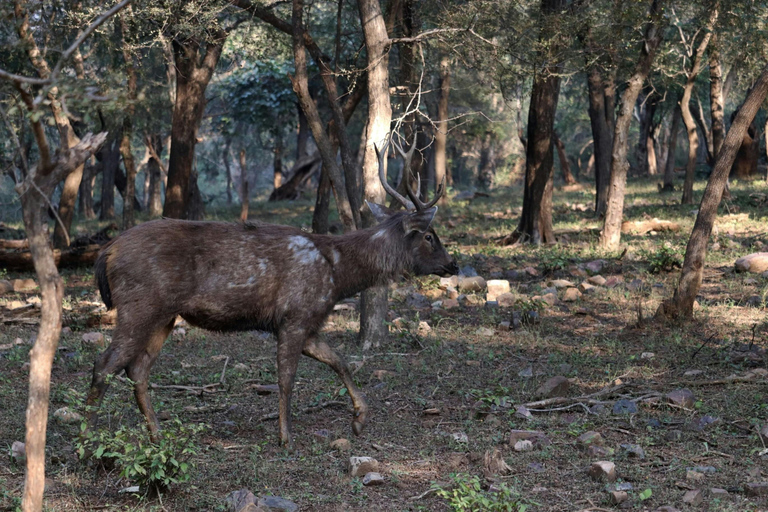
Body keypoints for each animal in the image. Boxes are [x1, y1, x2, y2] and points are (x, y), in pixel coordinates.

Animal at [84, 135, 456, 448]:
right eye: (429, 235)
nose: (452, 265)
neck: (338, 275)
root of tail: (107, 252)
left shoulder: (308, 323)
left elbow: (340, 362)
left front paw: (359, 419)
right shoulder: (295, 316)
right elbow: (287, 379)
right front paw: (286, 437)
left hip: (165, 315)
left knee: (138, 369)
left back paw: (157, 434)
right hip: (139, 305)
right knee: (105, 364)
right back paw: (87, 442)